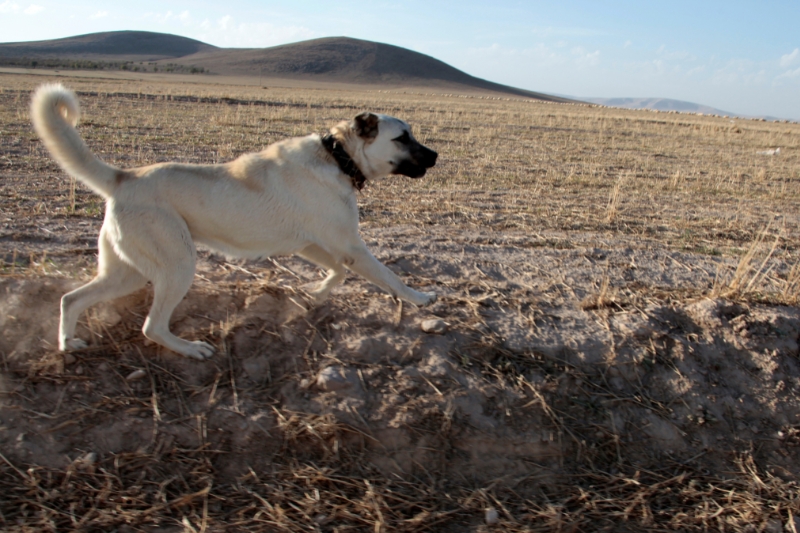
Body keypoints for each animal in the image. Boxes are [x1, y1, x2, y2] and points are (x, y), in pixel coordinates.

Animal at [31, 83, 438, 360]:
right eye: (403, 137)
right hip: (177, 265)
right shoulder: (350, 245)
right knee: (151, 326)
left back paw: (67, 342)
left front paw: (313, 293)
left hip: (126, 272)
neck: (338, 157)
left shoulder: (310, 244)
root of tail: (123, 177)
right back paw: (191, 349)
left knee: (71, 298)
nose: (435, 156)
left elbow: (337, 271)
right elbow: (389, 277)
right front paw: (420, 298)